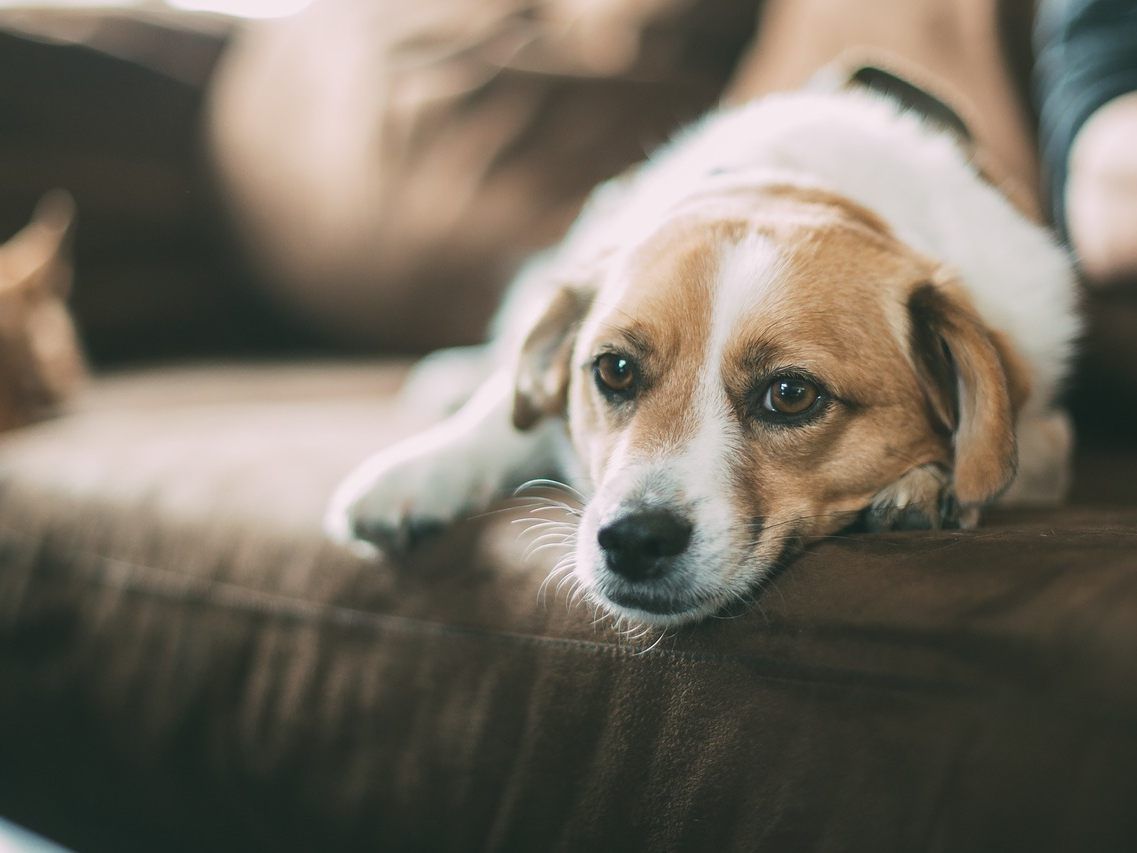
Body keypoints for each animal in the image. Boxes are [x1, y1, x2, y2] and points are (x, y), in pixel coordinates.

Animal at [325, 81, 1077, 627]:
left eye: (791, 394)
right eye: (614, 370)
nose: (633, 540)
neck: (793, 184)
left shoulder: (1044, 426)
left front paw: (927, 484)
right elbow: (502, 413)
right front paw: (419, 471)